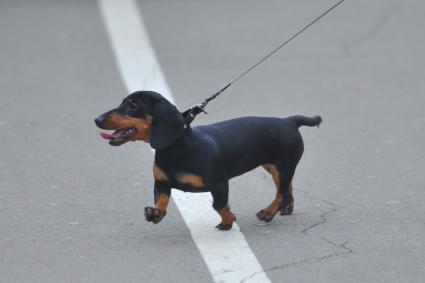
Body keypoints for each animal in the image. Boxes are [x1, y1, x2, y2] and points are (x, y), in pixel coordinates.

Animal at [94, 91, 320, 231]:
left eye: (133, 106)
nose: (97, 120)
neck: (178, 149)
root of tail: (289, 121)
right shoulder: (161, 182)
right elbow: (162, 199)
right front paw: (155, 213)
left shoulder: (219, 183)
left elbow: (219, 204)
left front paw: (228, 221)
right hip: (274, 168)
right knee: (287, 188)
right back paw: (286, 208)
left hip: (283, 166)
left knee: (282, 192)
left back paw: (268, 212)